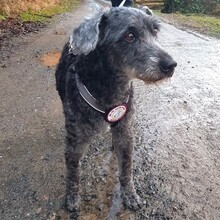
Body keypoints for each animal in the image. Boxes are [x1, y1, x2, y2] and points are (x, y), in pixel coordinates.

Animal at [55, 6, 177, 217]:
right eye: (129, 36)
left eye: (155, 31)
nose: (170, 65)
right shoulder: (75, 141)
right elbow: (73, 173)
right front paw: (71, 198)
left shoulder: (125, 130)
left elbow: (126, 168)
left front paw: (130, 194)